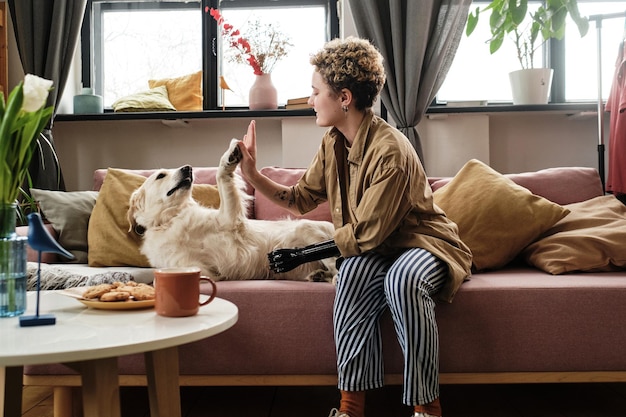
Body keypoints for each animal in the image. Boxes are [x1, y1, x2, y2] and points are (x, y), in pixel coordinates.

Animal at [126, 141, 336, 282]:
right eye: (161, 175)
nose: (188, 168)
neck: (171, 219)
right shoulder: (193, 267)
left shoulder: (229, 219)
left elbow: (222, 178)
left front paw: (229, 158)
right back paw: (319, 275)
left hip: (305, 228)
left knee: (336, 261)